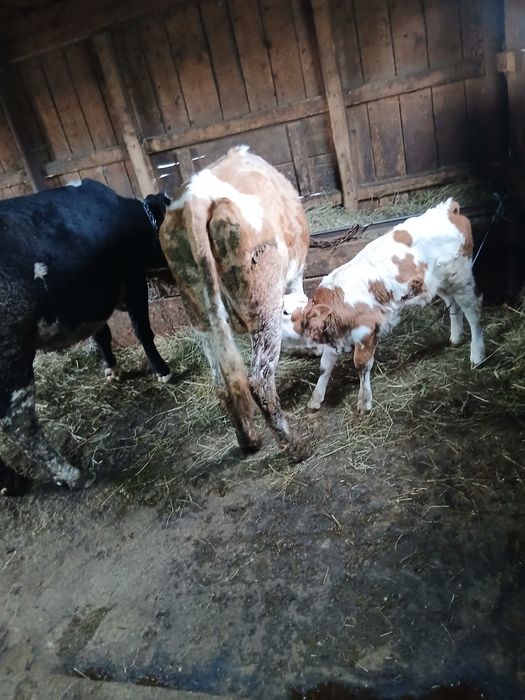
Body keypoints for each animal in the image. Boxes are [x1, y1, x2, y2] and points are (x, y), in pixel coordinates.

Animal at [0, 179, 171, 491]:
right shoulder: (133, 280)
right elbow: (142, 330)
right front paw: (162, 370)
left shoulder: (93, 299)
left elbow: (102, 335)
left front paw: (112, 369)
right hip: (11, 354)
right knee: (18, 421)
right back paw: (71, 474)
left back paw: (13, 483)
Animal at [159, 145, 310, 461]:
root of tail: (196, 198)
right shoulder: (294, 276)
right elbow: (300, 304)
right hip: (263, 302)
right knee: (259, 378)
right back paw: (295, 446)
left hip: (198, 312)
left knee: (222, 382)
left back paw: (249, 440)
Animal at [282, 198, 485, 412]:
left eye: (285, 312)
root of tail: (446, 209)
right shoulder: (334, 336)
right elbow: (324, 366)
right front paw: (316, 398)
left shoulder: (366, 331)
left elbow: (361, 364)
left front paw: (364, 401)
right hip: (439, 282)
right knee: (453, 304)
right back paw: (456, 337)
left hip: (461, 276)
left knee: (473, 310)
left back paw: (477, 355)